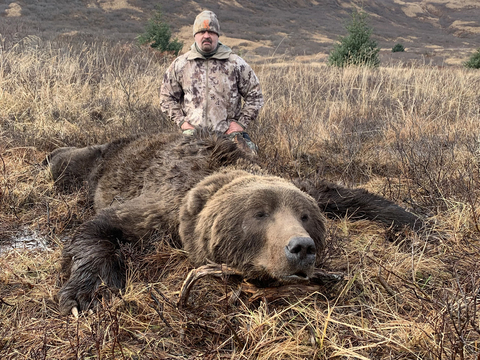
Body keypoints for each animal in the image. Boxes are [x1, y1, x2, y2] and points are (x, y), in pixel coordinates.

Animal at [45, 130, 420, 316]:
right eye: (259, 213)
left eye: (305, 217)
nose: (301, 248)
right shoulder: (163, 207)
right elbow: (99, 227)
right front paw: (87, 295)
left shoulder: (305, 187)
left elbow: (342, 193)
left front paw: (415, 220)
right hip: (99, 163)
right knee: (69, 162)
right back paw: (51, 155)